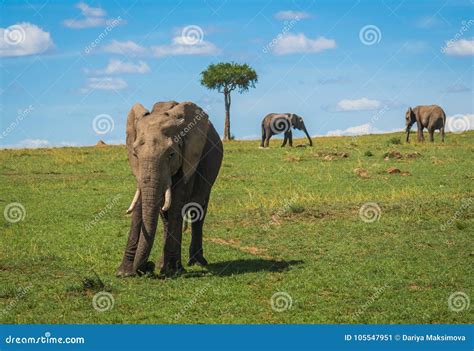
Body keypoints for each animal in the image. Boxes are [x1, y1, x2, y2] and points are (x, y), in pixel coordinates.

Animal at [116, 101, 224, 278]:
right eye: (135, 154)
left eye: (171, 154)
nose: (148, 266)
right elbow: (141, 203)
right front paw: (124, 273)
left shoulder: (188, 158)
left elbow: (176, 204)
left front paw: (173, 271)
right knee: (165, 216)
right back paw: (163, 263)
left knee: (198, 210)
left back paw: (196, 262)